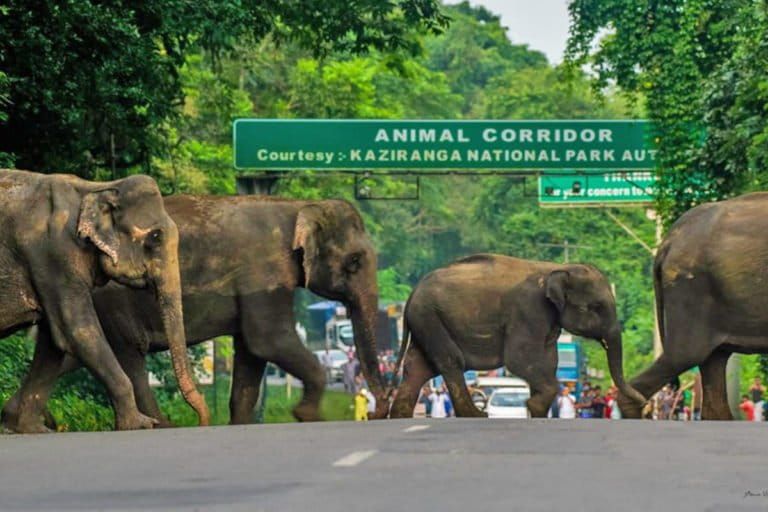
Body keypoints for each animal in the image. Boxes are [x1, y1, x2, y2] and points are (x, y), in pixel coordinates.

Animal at [0, 169, 207, 432]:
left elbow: (54, 341)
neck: (97, 188)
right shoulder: (53, 256)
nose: (203, 422)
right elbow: (78, 332)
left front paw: (31, 429)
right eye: (155, 237)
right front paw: (140, 425)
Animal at [5, 194, 384, 426]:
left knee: (73, 353)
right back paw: (159, 424)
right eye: (354, 262)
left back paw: (19, 417)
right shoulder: (262, 273)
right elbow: (268, 340)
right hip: (111, 303)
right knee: (129, 355)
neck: (299, 207)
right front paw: (307, 415)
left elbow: (251, 354)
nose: (382, 412)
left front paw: (239, 422)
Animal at [388, 255, 644, 420]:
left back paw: (400, 416)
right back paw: (476, 415)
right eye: (596, 307)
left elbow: (548, 361)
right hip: (429, 317)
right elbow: (519, 359)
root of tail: (412, 294)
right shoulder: (528, 310)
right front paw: (532, 405)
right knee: (450, 360)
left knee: (419, 368)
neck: (556, 269)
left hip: (427, 321)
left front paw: (536, 411)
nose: (643, 404)